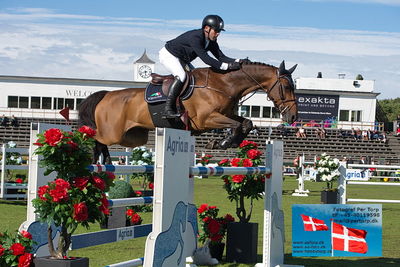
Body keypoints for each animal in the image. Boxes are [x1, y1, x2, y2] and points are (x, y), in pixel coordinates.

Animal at [78, 60, 296, 163]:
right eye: (286, 87)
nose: (293, 116)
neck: (223, 84)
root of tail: (106, 95)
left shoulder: (226, 114)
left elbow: (246, 123)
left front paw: (225, 141)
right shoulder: (207, 119)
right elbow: (237, 124)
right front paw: (223, 141)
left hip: (132, 136)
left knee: (102, 142)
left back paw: (106, 162)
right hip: (112, 133)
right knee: (96, 138)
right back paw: (98, 163)